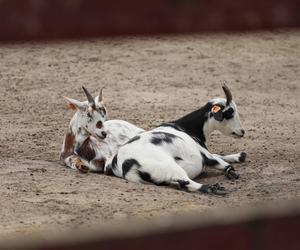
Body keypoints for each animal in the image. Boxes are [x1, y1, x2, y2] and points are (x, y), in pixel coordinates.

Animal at [106, 85, 246, 196]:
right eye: (230, 113)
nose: (242, 131)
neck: (185, 128)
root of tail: (127, 163)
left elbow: (219, 155)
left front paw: (239, 156)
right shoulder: (204, 153)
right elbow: (221, 162)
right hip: (169, 167)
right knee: (186, 182)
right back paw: (215, 189)